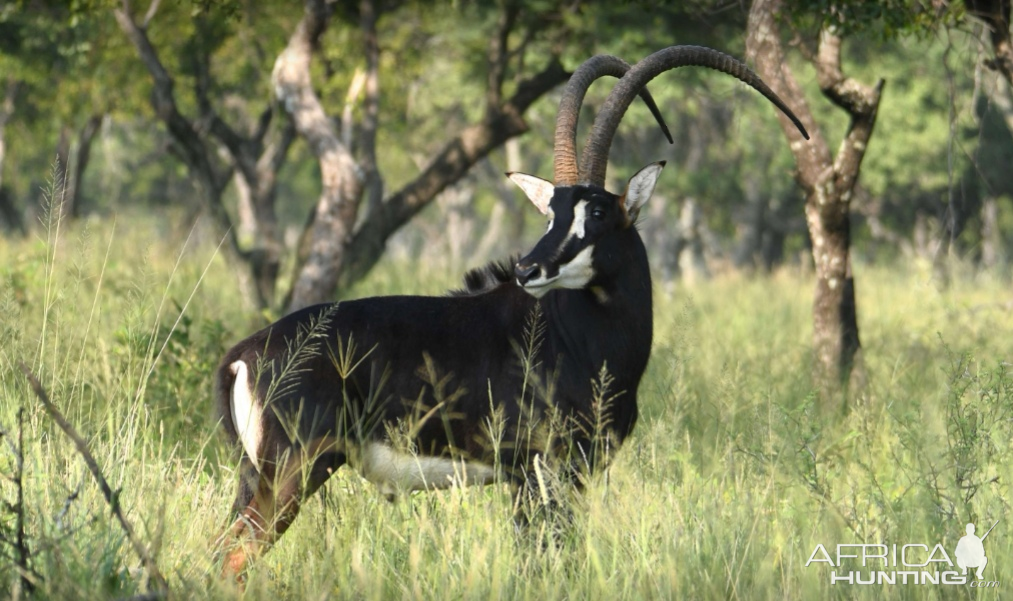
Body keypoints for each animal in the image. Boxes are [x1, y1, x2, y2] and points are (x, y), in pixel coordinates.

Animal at [213, 48, 806, 575]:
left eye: (596, 210)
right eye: (551, 211)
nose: (526, 268)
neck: (578, 338)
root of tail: (242, 355)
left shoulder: (571, 472)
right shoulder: (539, 468)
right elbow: (543, 561)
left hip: (255, 476)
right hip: (293, 471)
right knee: (234, 560)